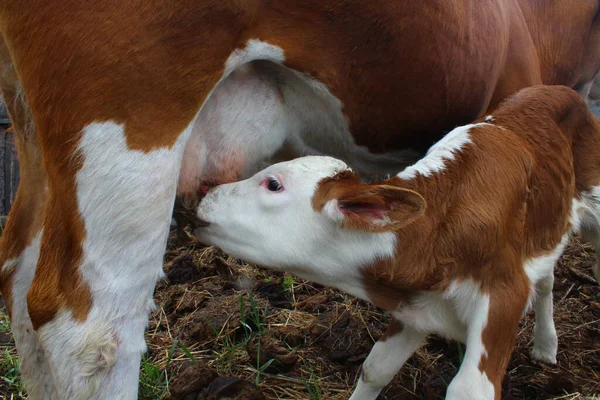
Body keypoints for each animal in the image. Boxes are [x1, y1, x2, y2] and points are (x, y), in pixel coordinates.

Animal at [195, 85, 600, 400]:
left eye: (273, 183)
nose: (205, 191)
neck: (439, 232)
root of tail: (558, 89)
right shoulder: (415, 307)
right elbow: (376, 366)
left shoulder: (503, 291)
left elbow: (469, 389)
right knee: (546, 278)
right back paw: (545, 345)